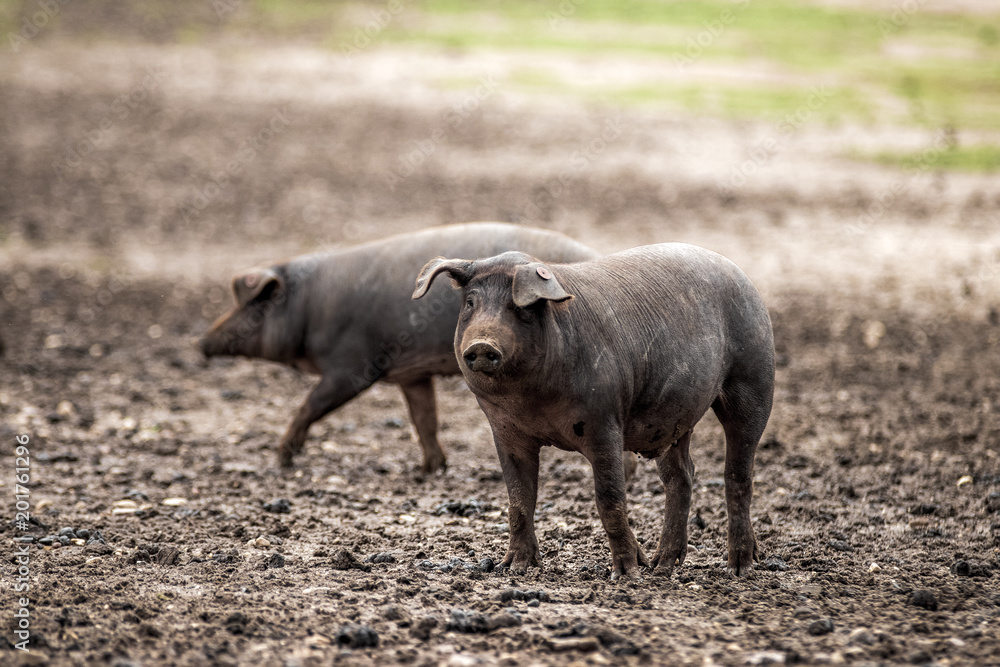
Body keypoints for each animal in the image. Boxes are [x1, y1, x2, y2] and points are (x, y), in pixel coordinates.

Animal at [200, 223, 599, 473]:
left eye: (255, 305)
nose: (201, 342)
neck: (308, 308)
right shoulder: (412, 375)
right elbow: (424, 419)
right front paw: (431, 468)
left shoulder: (352, 367)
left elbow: (310, 404)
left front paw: (282, 459)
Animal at [412, 243, 774, 579]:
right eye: (471, 303)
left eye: (518, 307)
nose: (482, 345)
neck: (533, 401)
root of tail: (742, 276)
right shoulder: (505, 431)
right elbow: (519, 500)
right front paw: (513, 568)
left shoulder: (603, 421)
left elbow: (609, 499)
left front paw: (626, 574)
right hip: (675, 418)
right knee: (682, 476)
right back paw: (661, 567)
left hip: (754, 379)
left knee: (738, 474)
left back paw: (739, 568)